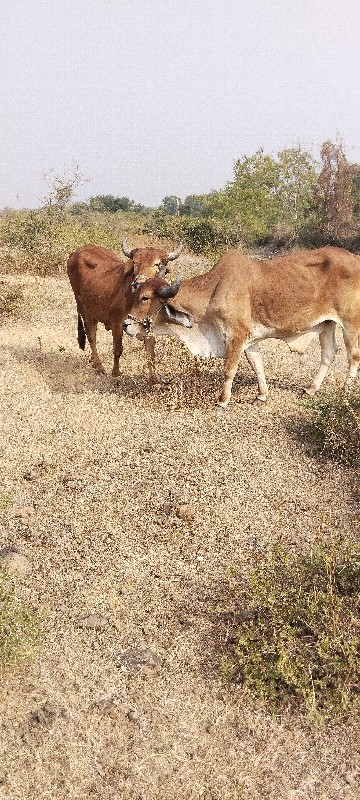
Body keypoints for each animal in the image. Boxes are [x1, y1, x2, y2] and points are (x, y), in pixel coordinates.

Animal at [67, 239, 183, 382]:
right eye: (135, 262)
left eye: (157, 264)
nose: (138, 283)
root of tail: (76, 252)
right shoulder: (117, 322)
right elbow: (118, 349)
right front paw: (116, 374)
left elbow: (150, 352)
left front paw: (154, 381)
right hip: (83, 307)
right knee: (91, 335)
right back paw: (98, 365)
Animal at [123, 245, 360, 406]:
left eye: (144, 298)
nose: (126, 324)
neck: (214, 289)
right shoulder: (250, 339)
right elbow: (257, 365)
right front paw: (262, 395)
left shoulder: (236, 336)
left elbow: (229, 369)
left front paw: (222, 400)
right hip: (327, 324)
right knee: (328, 353)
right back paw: (311, 388)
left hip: (350, 324)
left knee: (353, 357)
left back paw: (344, 391)